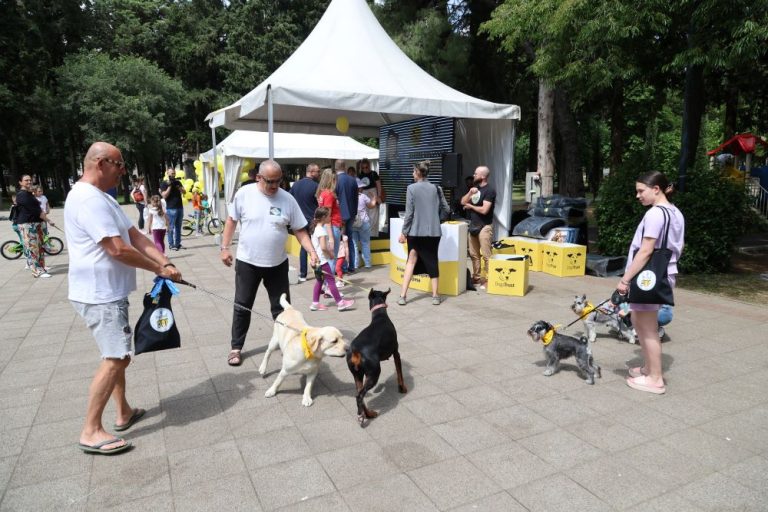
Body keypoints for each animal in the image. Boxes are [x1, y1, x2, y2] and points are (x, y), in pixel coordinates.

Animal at [348, 288, 408, 428]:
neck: (380, 316)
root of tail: (356, 350)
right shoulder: (396, 353)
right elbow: (399, 373)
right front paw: (402, 388)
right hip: (374, 373)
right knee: (360, 396)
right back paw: (361, 416)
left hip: (357, 374)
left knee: (359, 394)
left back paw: (368, 414)